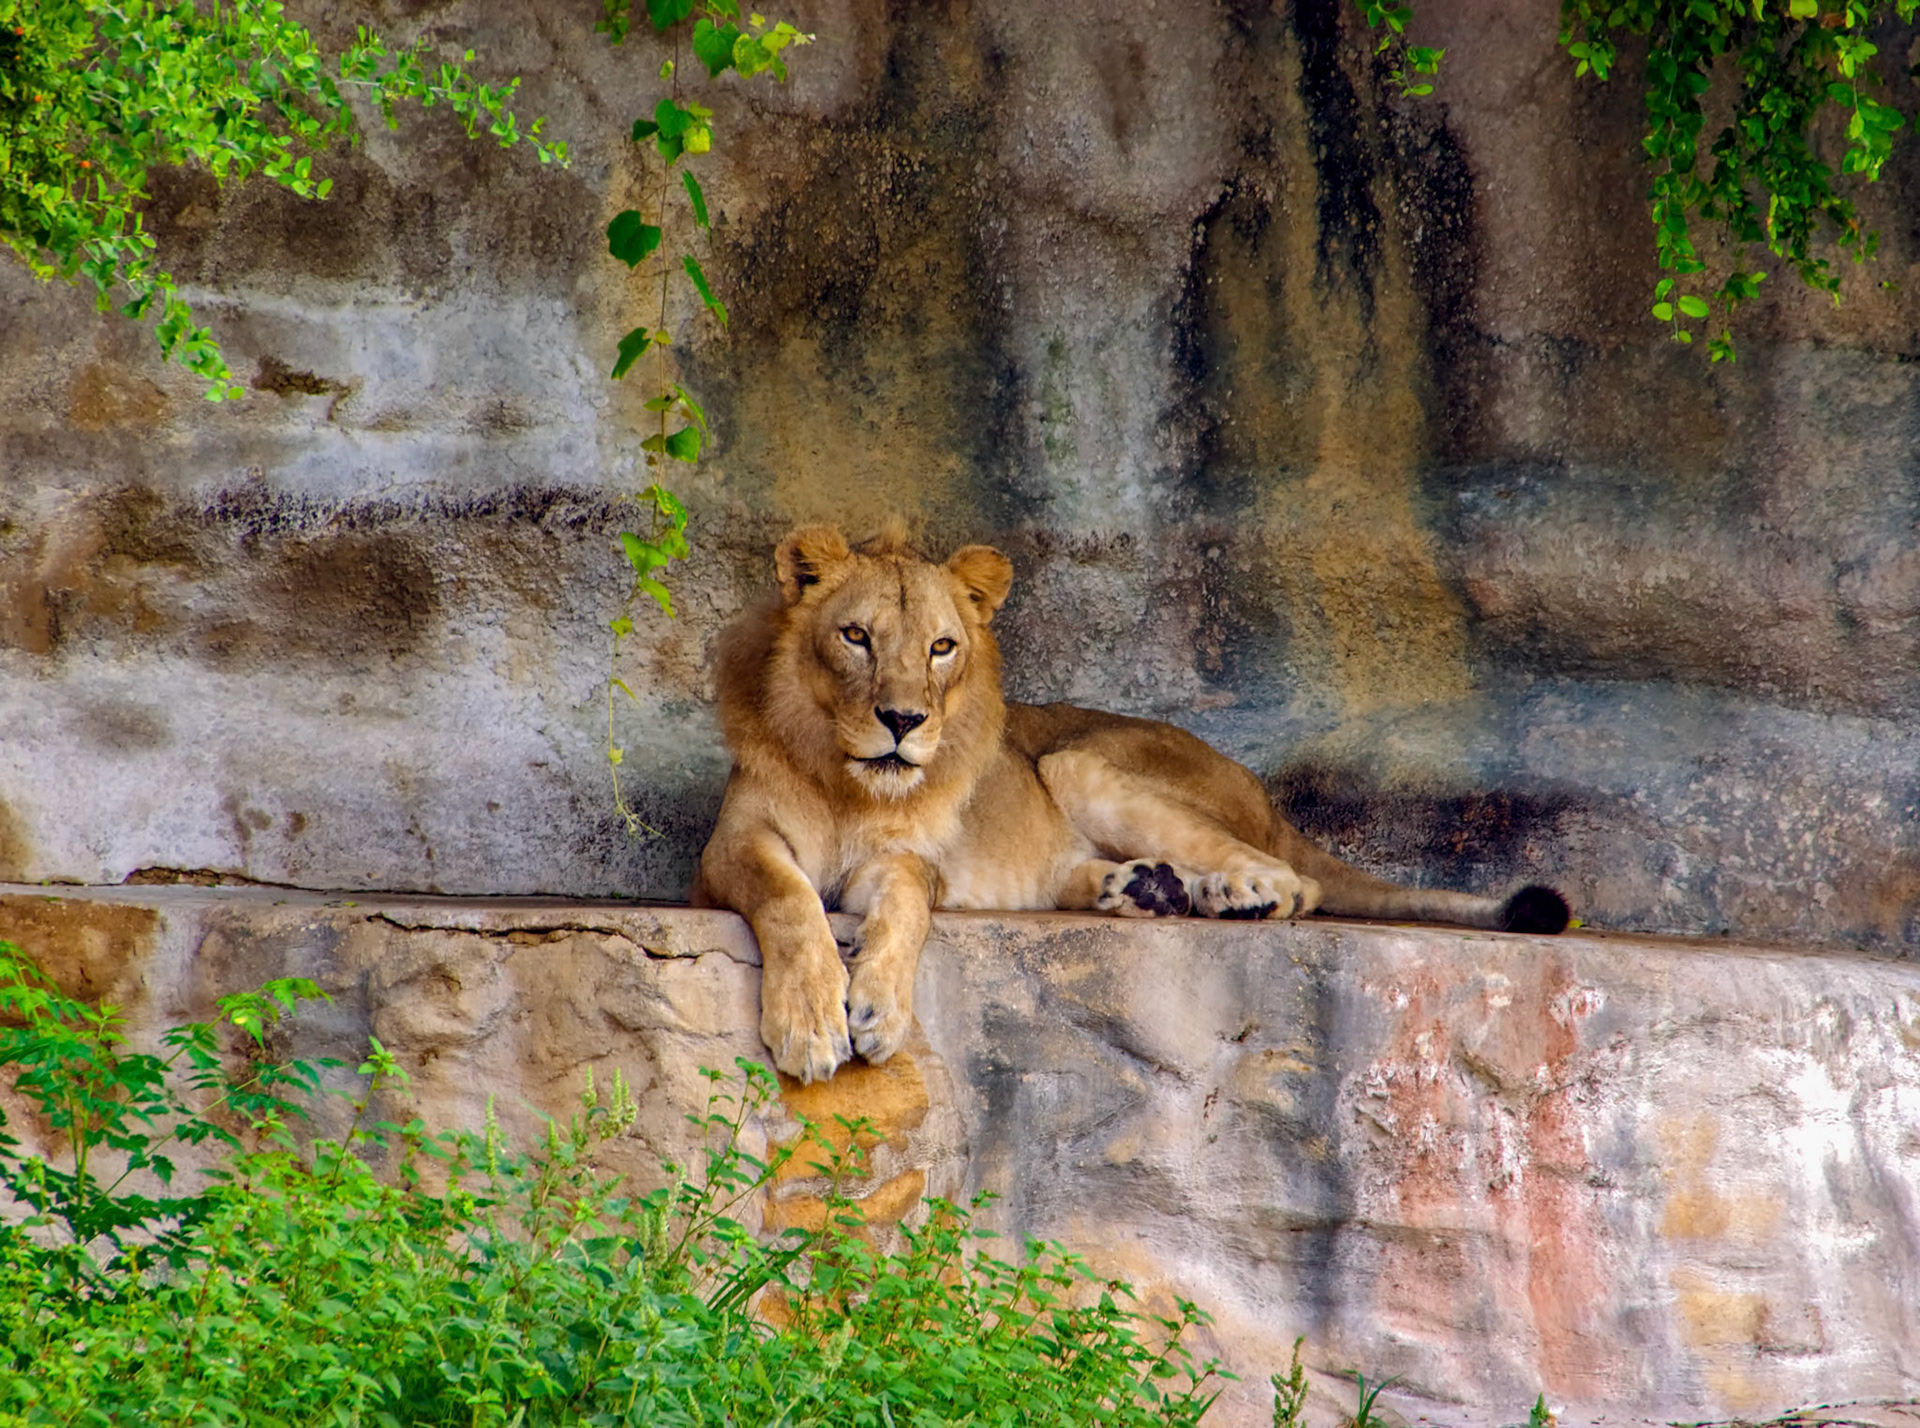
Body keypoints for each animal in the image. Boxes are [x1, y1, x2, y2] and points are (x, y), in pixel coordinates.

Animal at [691, 522, 1571, 1083]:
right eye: (857, 637)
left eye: (941, 647)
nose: (904, 721)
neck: (851, 787)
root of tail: (1261, 790)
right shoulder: (726, 849)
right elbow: (790, 899)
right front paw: (810, 1021)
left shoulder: (911, 862)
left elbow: (905, 902)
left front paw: (873, 1006)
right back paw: (1150, 887)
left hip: (1080, 763)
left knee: (1300, 882)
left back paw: (1233, 894)